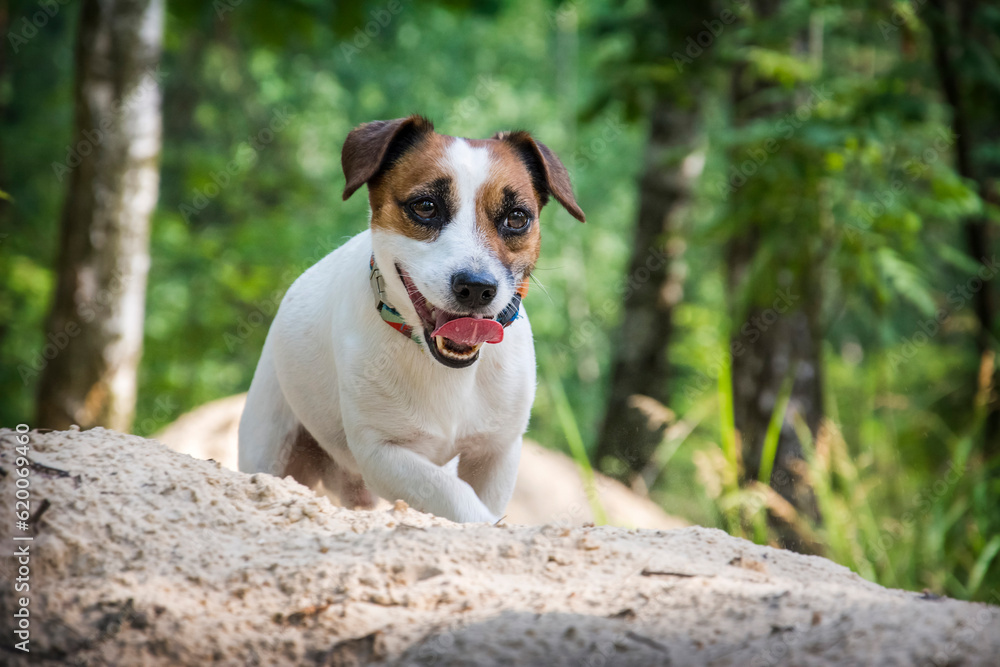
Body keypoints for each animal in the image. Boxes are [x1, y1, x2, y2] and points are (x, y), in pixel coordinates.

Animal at [237, 117, 584, 524]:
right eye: (425, 206)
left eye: (517, 217)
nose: (476, 287)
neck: (447, 370)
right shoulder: (382, 453)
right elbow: (455, 494)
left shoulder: (496, 451)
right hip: (270, 444)